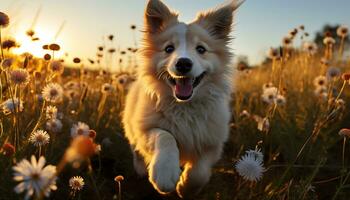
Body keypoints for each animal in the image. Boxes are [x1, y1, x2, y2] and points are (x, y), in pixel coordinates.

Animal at [122, 0, 241, 197]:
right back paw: (140, 168)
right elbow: (165, 136)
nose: (183, 63)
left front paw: (185, 187)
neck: (184, 106)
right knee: (135, 148)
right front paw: (164, 174)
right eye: (169, 49)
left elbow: (200, 172)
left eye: (201, 49)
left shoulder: (212, 142)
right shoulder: (145, 128)